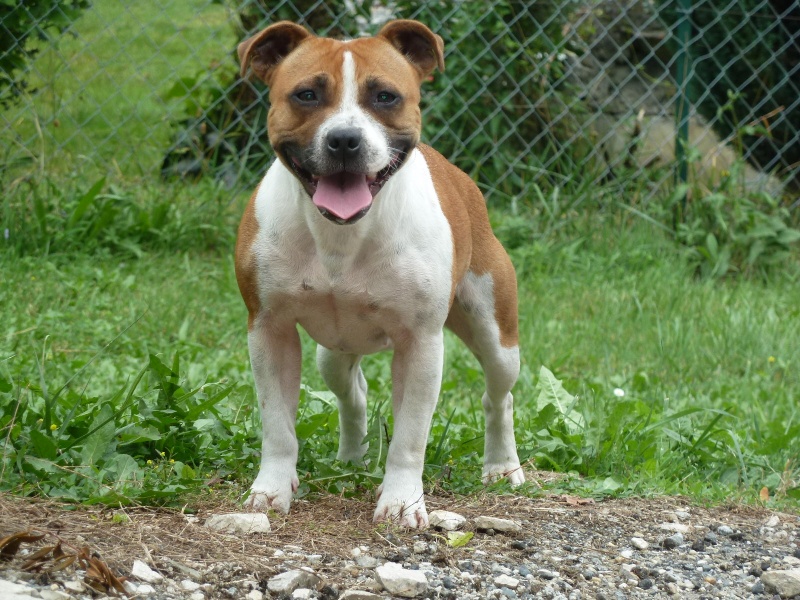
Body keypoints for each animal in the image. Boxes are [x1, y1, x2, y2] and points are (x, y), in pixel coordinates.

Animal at [233, 18, 524, 528]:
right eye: (306, 94)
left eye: (385, 96)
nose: (345, 140)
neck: (342, 235)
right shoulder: (269, 331)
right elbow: (278, 426)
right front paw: (271, 490)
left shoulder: (421, 345)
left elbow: (410, 437)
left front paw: (403, 501)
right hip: (331, 354)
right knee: (354, 395)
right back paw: (352, 458)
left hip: (497, 335)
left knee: (498, 398)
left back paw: (502, 467)